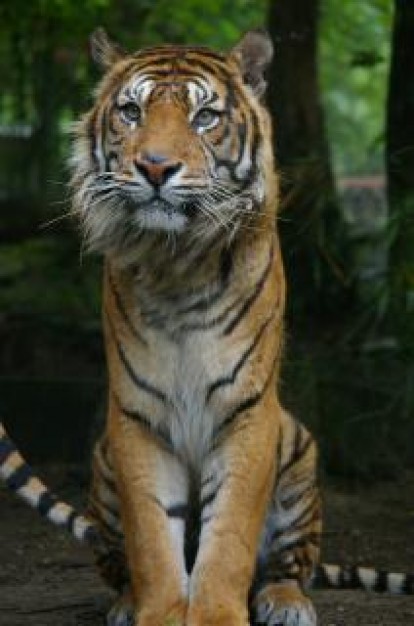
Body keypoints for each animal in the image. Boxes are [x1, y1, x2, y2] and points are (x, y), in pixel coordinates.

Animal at [0, 28, 412, 624]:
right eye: (131, 111)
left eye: (204, 117)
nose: (154, 167)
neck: (177, 263)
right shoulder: (136, 417)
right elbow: (153, 539)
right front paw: (159, 612)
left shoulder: (248, 412)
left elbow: (230, 537)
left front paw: (215, 613)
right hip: (103, 458)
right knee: (119, 562)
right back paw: (125, 603)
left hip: (298, 446)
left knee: (290, 564)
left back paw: (286, 602)